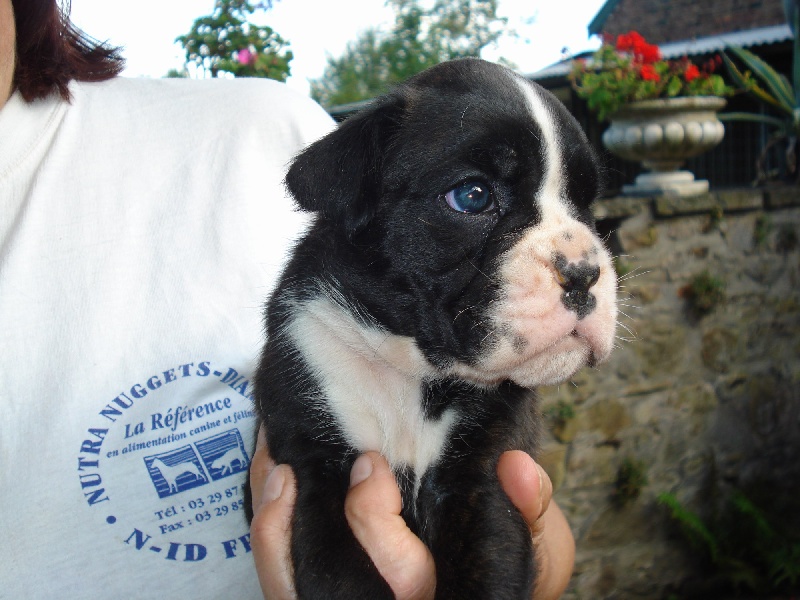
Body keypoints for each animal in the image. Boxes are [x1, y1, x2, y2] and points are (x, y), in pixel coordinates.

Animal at [253, 57, 616, 600]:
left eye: (586, 204)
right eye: (472, 196)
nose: (583, 271)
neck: (411, 371)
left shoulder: (483, 478)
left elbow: (489, 568)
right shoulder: (317, 472)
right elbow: (345, 580)